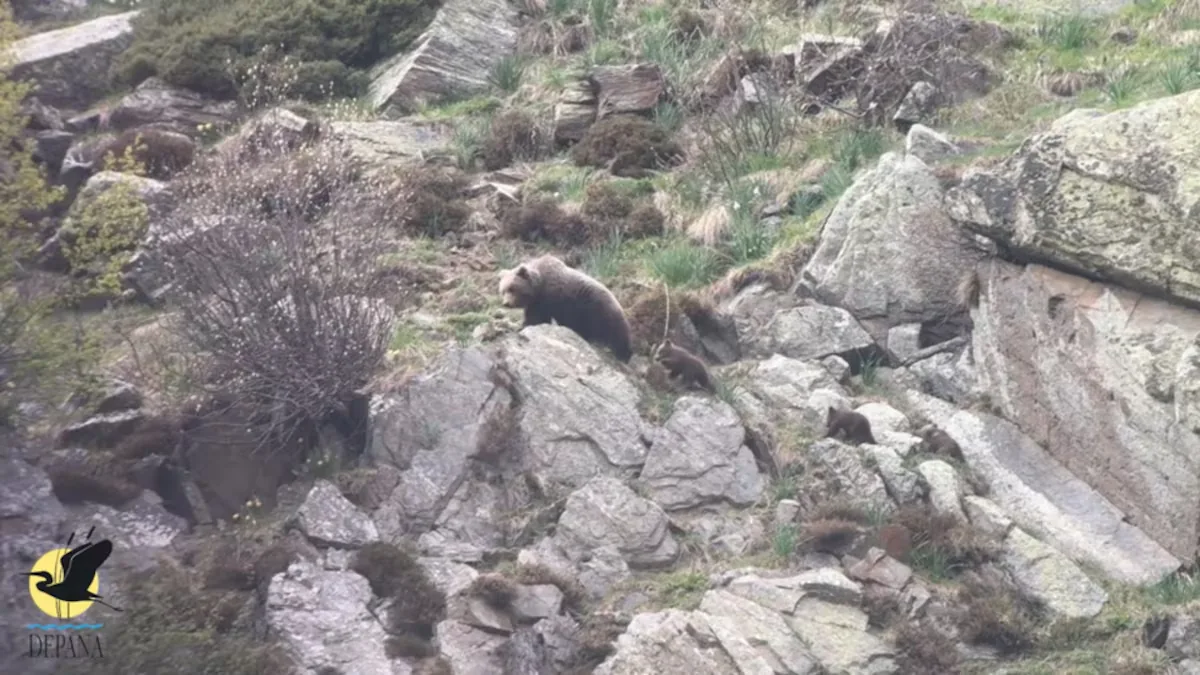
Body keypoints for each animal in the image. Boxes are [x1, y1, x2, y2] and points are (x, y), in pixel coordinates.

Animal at [498, 254, 633, 362]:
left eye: (512, 288)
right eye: (503, 290)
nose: (506, 303)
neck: (539, 286)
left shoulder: (548, 298)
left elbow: (537, 317)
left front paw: (523, 326)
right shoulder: (537, 302)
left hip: (598, 309)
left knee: (617, 332)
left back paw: (623, 354)